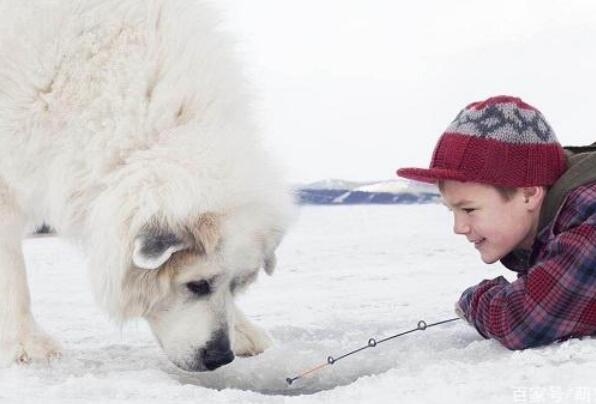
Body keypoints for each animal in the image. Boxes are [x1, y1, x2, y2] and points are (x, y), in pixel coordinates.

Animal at [0, 0, 294, 372]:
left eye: (238, 285)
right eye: (196, 285)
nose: (220, 357)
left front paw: (242, 330)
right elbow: (12, 273)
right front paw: (26, 343)